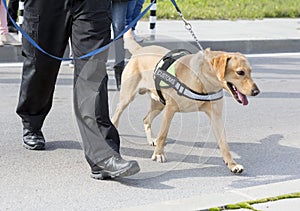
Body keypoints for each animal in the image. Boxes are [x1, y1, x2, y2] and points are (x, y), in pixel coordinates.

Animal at [111, 30, 258, 174]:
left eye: (250, 72)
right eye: (240, 72)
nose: (256, 91)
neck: (203, 80)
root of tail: (140, 49)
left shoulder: (216, 116)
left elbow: (224, 144)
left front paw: (232, 164)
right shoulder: (170, 109)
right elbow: (163, 134)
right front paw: (159, 154)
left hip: (159, 104)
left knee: (146, 119)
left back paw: (151, 139)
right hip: (127, 98)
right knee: (115, 117)